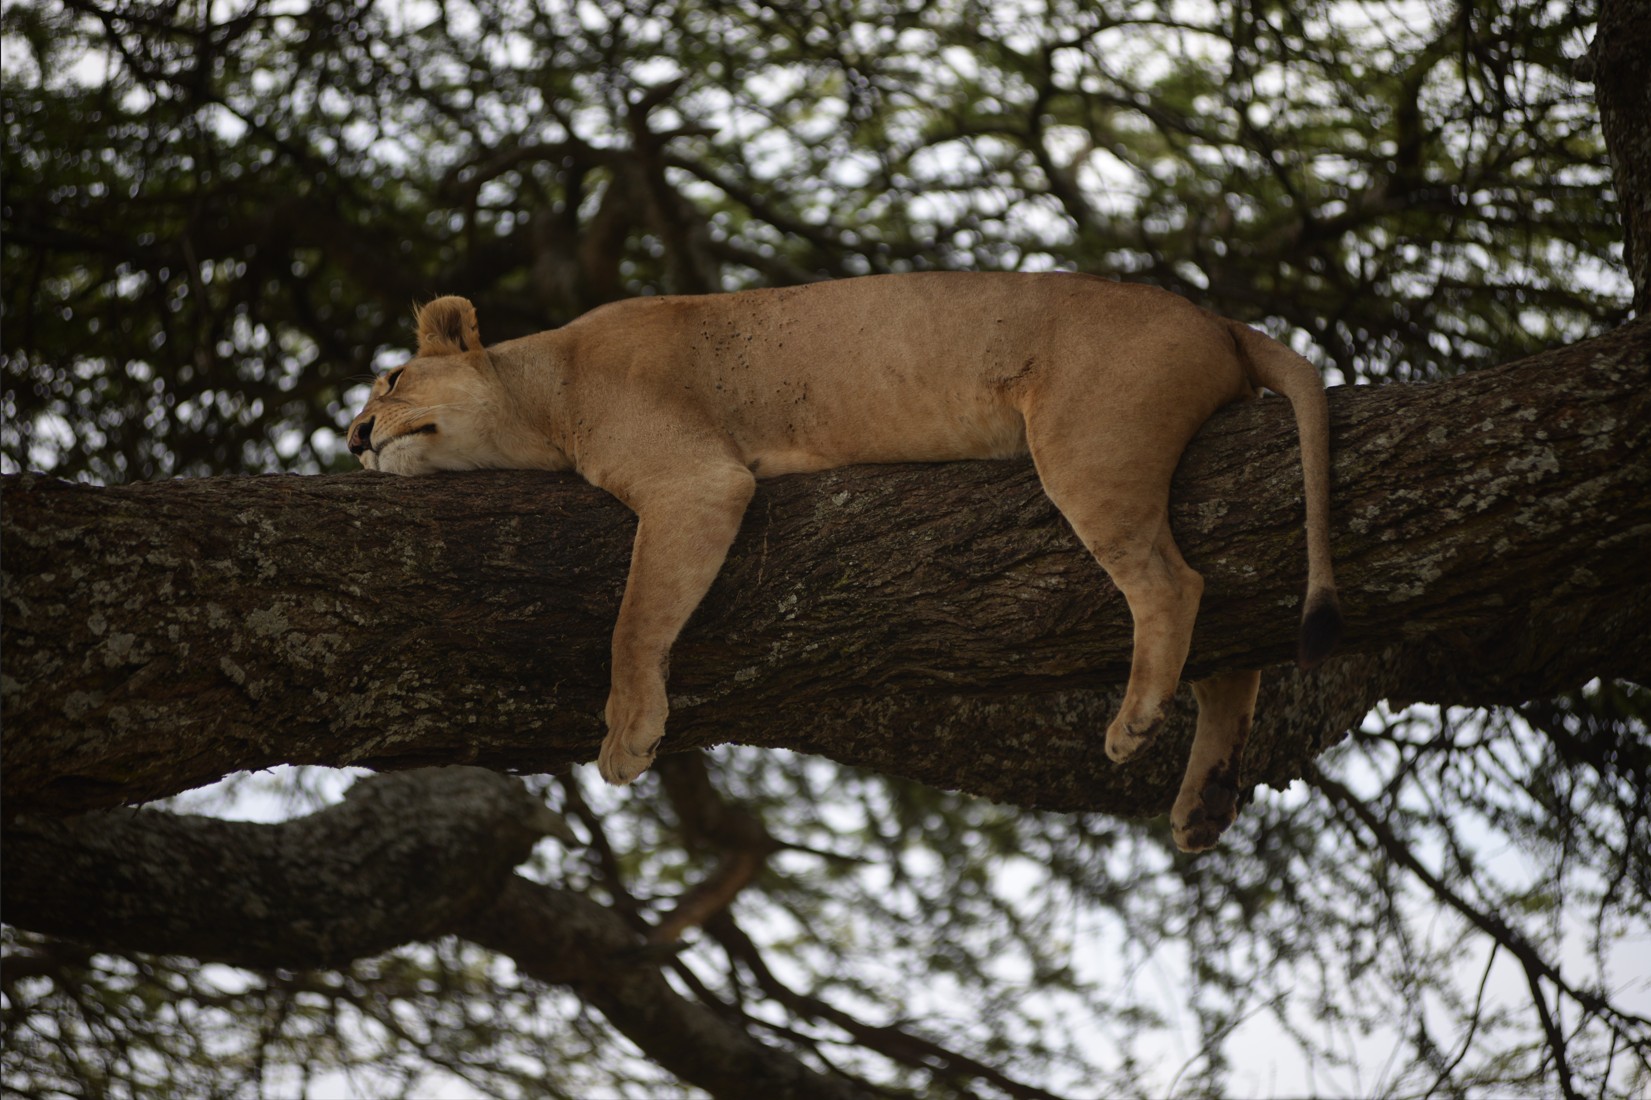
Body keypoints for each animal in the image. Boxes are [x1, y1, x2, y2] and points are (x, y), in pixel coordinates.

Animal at [347, 272, 1341, 851]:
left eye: (391, 380)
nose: (354, 437)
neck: (542, 388)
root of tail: (1216, 317)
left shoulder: (695, 480)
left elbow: (634, 620)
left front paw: (627, 735)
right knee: (1232, 651)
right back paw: (1204, 799)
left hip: (1090, 444)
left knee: (1175, 582)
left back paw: (1133, 724)